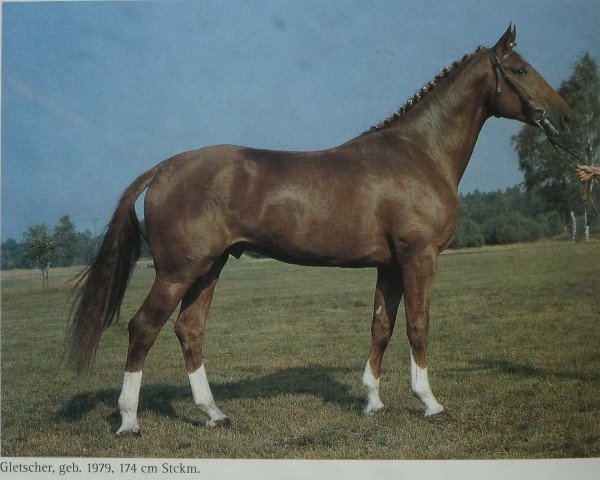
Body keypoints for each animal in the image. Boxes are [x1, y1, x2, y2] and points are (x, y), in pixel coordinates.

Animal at [65, 25, 568, 436]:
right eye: (520, 70)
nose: (563, 116)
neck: (419, 154)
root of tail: (164, 168)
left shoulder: (389, 265)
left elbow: (381, 327)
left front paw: (373, 402)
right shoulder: (419, 258)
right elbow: (418, 327)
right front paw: (430, 403)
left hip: (208, 268)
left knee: (189, 330)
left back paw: (214, 414)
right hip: (177, 271)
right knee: (143, 328)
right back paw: (129, 421)